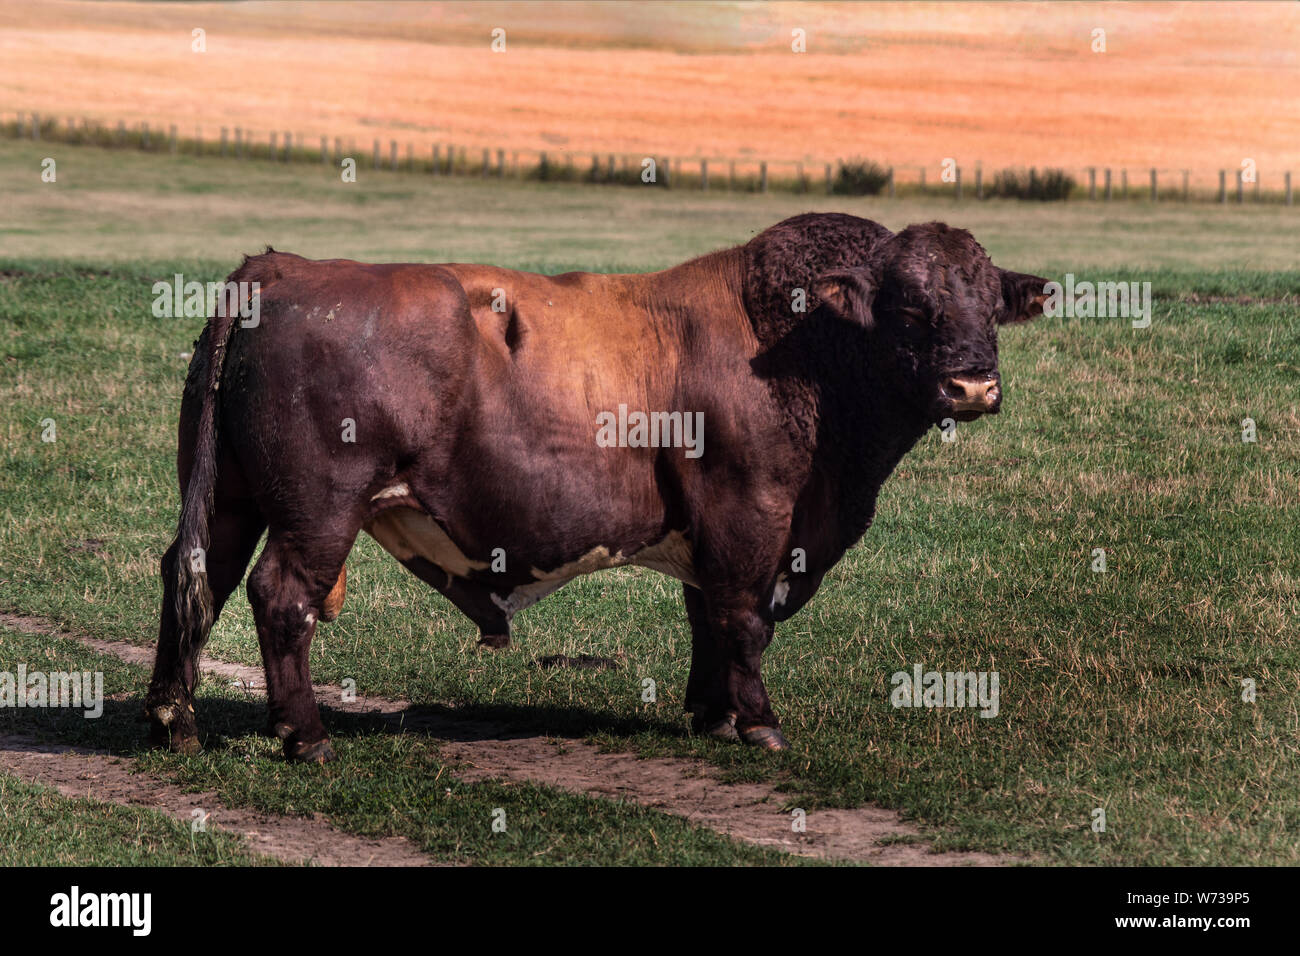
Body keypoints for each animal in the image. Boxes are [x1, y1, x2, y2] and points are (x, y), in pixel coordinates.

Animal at [144, 210, 1045, 764]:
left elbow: (707, 617)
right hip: (316, 514)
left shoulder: (714, 532)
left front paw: (713, 713)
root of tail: (281, 269)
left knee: (195, 580)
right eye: (910, 306)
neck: (803, 345)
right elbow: (745, 620)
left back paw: (173, 720)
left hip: (228, 501)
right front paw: (758, 722)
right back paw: (306, 736)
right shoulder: (753, 515)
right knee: (281, 599)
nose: (973, 385)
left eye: (990, 304)